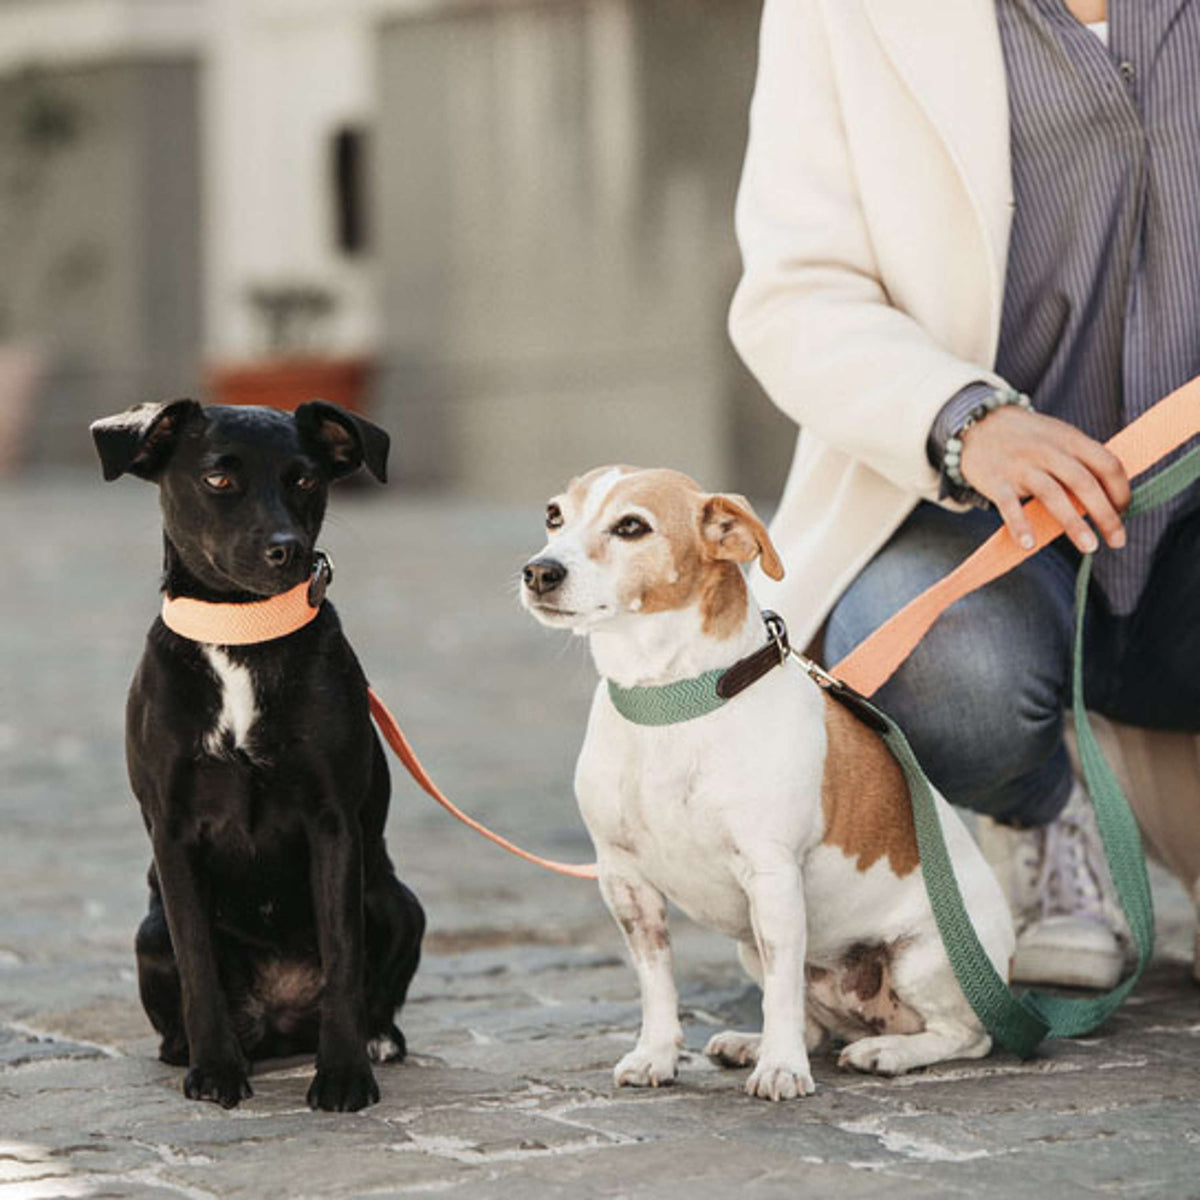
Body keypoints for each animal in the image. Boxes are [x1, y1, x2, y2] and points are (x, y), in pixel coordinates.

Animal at [91, 398, 427, 1108]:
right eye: (219, 478)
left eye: (304, 480)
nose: (287, 550)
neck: (241, 633)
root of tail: (279, 1023)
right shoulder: (173, 831)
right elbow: (197, 963)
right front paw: (216, 1070)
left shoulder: (333, 824)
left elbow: (343, 957)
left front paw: (344, 1074)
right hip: (148, 933)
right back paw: (187, 1048)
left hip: (399, 904)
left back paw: (379, 1040)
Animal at [518, 465, 1012, 1099]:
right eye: (554, 515)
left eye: (631, 526)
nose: (539, 571)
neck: (669, 700)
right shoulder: (625, 880)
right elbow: (658, 984)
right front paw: (656, 1055)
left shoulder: (772, 879)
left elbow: (779, 992)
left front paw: (780, 1070)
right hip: (748, 946)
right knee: (814, 1024)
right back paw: (750, 1044)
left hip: (921, 958)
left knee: (965, 1036)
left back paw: (887, 1053)